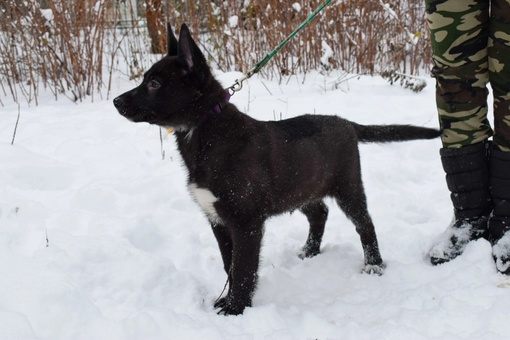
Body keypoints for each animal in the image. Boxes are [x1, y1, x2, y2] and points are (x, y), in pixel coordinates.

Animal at [113, 23, 440, 316]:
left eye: (154, 84)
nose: (116, 101)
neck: (204, 129)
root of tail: (345, 123)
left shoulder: (246, 222)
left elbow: (243, 268)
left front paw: (236, 309)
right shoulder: (217, 220)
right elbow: (229, 263)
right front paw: (228, 301)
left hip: (347, 186)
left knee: (365, 224)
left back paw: (373, 265)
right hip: (303, 186)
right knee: (320, 213)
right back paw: (310, 251)